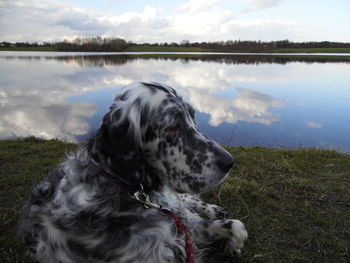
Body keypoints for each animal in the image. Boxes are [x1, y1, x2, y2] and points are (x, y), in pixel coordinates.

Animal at [19, 82, 249, 263]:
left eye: (192, 116)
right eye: (173, 125)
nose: (229, 162)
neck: (133, 193)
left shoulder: (183, 228)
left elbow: (237, 226)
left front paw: (233, 245)